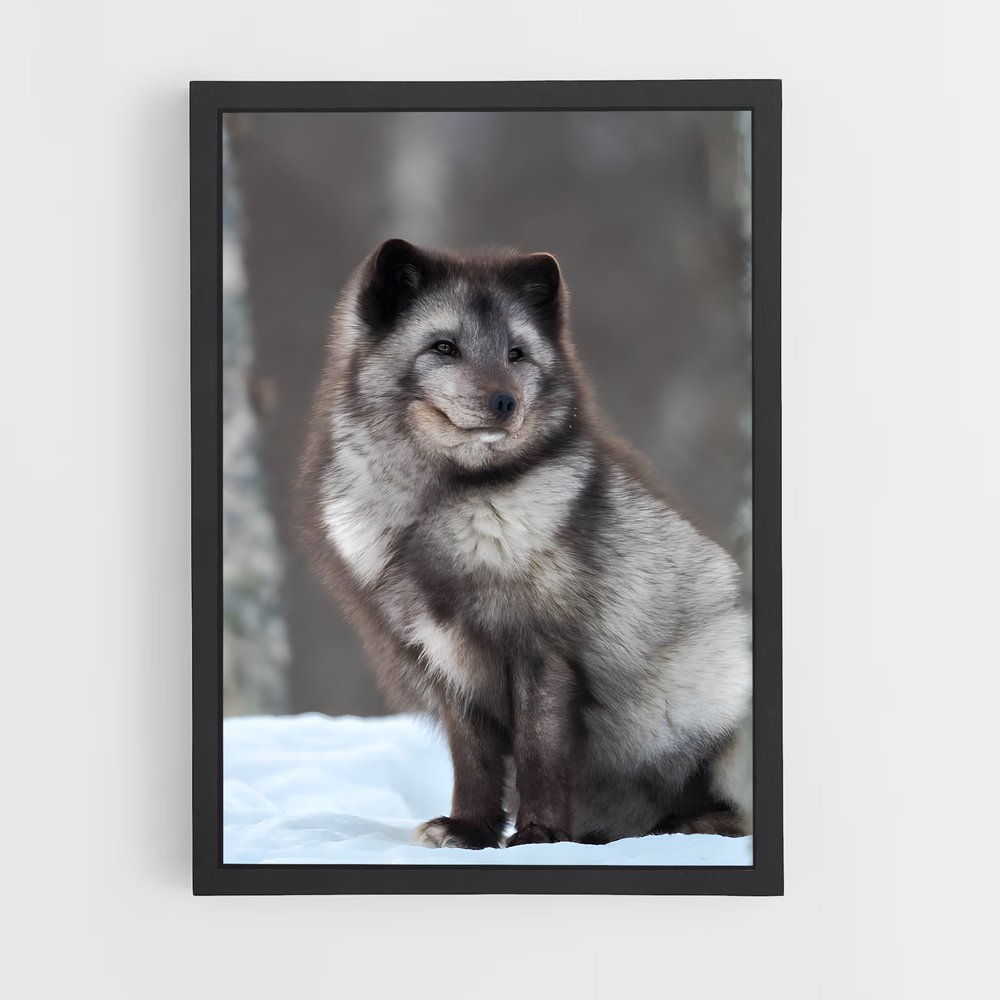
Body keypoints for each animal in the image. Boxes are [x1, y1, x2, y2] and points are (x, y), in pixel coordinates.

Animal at [295, 238, 752, 848]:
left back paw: (685, 825)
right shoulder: (443, 656)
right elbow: (472, 758)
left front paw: (538, 835)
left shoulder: (544, 649)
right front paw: (468, 829)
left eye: (516, 354)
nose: (504, 402)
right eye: (444, 347)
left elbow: (539, 750)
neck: (443, 502)